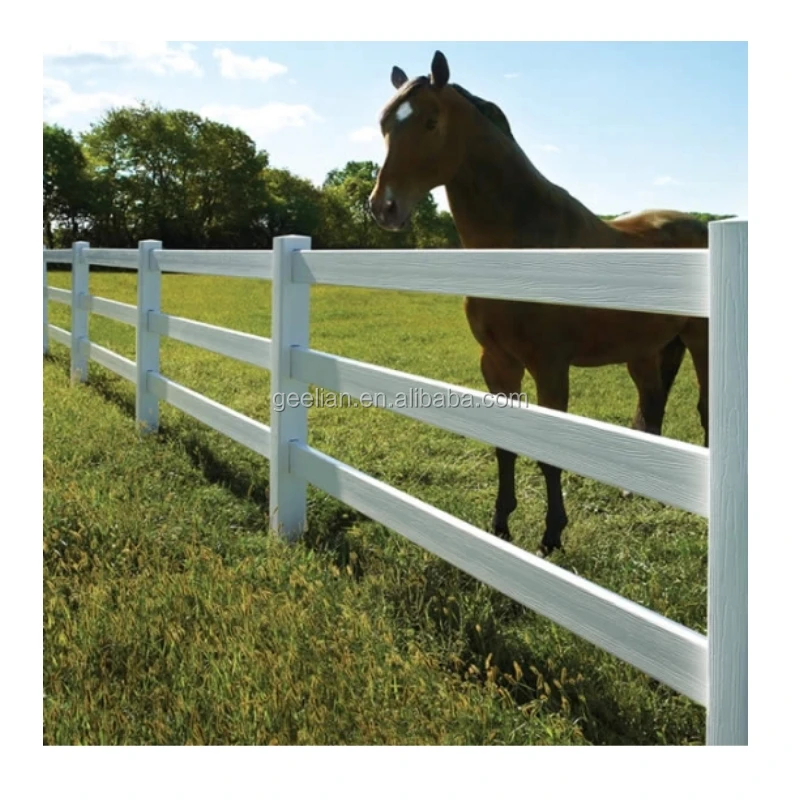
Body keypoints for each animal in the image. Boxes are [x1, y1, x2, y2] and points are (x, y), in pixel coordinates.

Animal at [368, 51, 708, 556]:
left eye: (430, 122)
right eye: (385, 123)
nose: (383, 207)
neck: (523, 242)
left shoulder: (550, 366)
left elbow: (550, 452)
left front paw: (550, 536)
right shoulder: (498, 362)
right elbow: (505, 444)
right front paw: (500, 526)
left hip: (701, 342)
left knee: (704, 410)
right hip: (646, 349)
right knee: (651, 403)